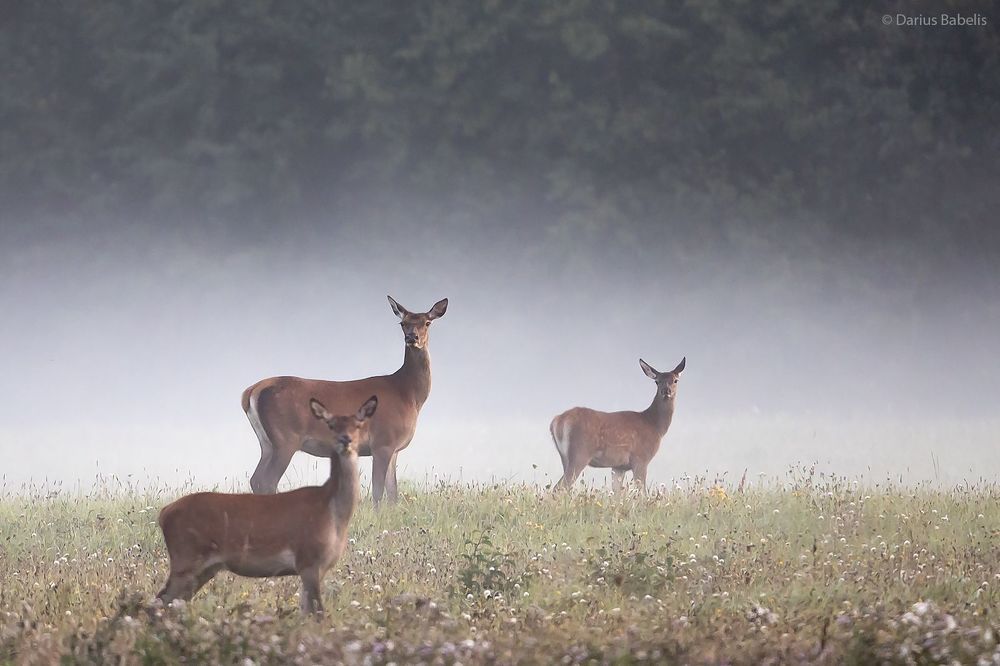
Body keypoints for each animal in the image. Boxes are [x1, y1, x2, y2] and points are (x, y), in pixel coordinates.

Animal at [156, 396, 377, 614]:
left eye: (359, 424)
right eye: (331, 425)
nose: (345, 440)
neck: (333, 513)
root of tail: (164, 513)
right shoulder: (308, 560)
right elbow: (317, 613)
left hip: (204, 568)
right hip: (186, 558)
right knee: (160, 600)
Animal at [242, 296, 448, 502]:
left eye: (427, 323)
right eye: (402, 323)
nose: (412, 338)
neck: (408, 394)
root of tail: (252, 390)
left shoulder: (394, 449)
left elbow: (392, 495)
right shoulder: (383, 442)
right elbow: (378, 492)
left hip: (267, 442)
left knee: (256, 479)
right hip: (286, 438)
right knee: (267, 480)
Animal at [550, 357, 685, 492]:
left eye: (675, 380)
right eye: (657, 381)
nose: (666, 391)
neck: (654, 426)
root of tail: (558, 421)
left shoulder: (619, 466)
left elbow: (617, 493)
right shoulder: (641, 458)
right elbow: (642, 492)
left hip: (564, 457)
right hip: (580, 452)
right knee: (559, 487)